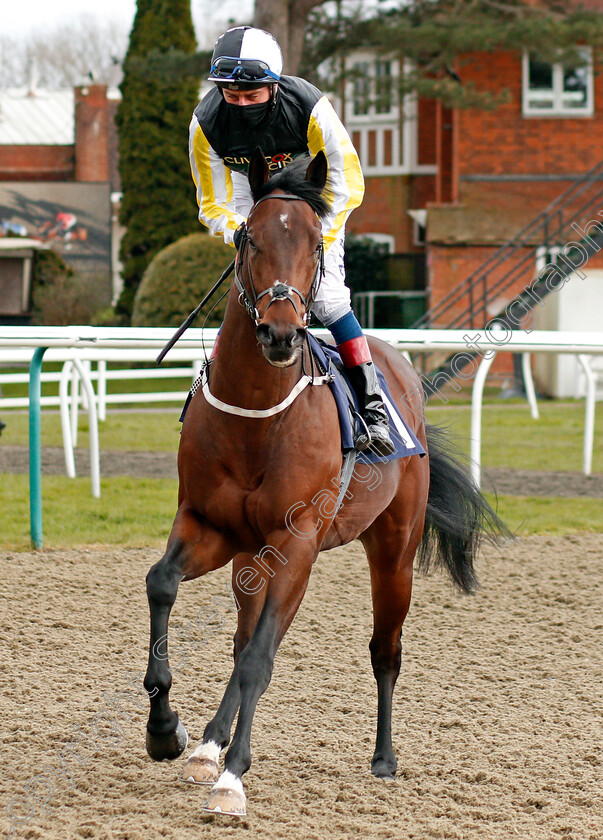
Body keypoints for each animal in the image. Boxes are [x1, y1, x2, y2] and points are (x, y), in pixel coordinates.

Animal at [142, 148, 504, 816]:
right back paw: (208, 745)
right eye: (249, 239)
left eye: (315, 244)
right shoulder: (208, 525)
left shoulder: (297, 542)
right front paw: (167, 731)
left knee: (383, 650)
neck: (257, 413)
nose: (282, 333)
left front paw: (234, 778)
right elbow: (164, 586)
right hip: (253, 557)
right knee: (242, 636)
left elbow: (262, 657)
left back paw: (383, 758)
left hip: (392, 551)